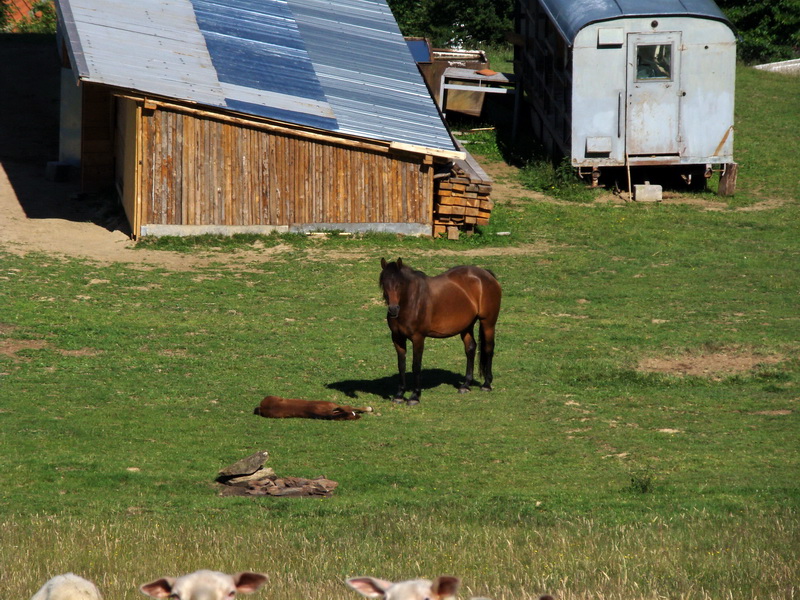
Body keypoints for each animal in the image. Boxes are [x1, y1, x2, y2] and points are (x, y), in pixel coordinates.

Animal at [380, 256, 500, 404]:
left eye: (400, 284)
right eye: (384, 283)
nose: (393, 309)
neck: (412, 301)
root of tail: (487, 274)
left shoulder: (418, 338)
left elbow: (416, 365)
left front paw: (415, 396)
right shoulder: (397, 338)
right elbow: (401, 365)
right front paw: (399, 395)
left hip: (488, 323)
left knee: (488, 349)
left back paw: (487, 384)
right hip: (467, 326)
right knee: (470, 348)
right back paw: (465, 385)